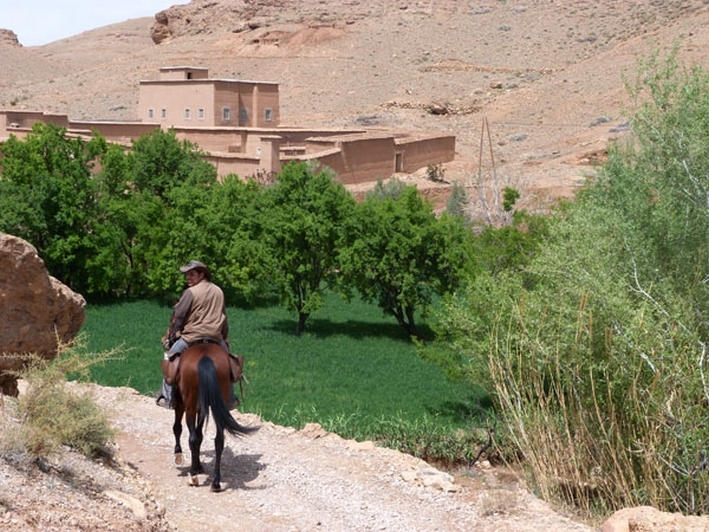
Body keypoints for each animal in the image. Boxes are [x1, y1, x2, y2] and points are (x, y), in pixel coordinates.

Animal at [171, 340, 258, 490]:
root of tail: (205, 357)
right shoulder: (202, 408)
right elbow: (200, 435)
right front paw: (198, 465)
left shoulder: (182, 403)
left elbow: (178, 428)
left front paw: (179, 456)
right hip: (218, 405)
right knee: (219, 440)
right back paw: (216, 482)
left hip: (190, 405)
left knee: (192, 438)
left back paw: (193, 477)